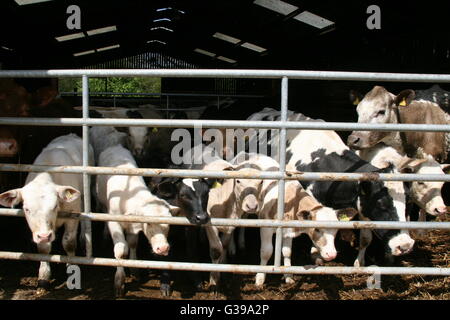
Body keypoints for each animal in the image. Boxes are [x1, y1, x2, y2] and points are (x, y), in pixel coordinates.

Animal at [0, 134, 92, 294]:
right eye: (26, 209)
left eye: (54, 206)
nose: (44, 235)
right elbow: (43, 249)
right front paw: (43, 276)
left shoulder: (73, 214)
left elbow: (69, 243)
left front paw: (72, 268)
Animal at [96, 145, 179, 298]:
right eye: (149, 223)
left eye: (169, 224)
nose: (163, 248)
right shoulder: (115, 222)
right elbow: (121, 250)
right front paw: (119, 282)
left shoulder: (133, 226)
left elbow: (133, 243)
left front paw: (135, 268)